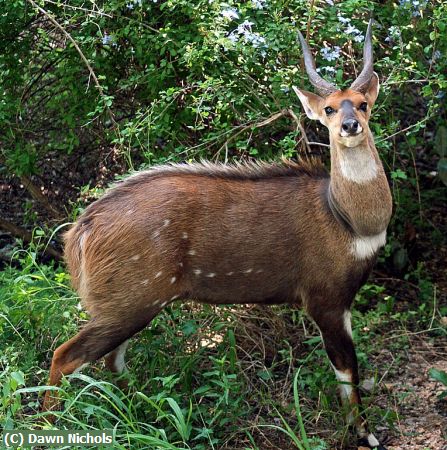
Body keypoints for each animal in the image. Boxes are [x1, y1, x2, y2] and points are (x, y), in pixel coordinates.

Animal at [43, 19, 390, 448]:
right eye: (328, 108)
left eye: (362, 103)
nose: (349, 126)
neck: (347, 220)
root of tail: (80, 232)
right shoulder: (325, 299)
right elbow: (348, 370)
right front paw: (366, 434)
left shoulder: (342, 302)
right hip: (128, 303)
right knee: (66, 356)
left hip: (128, 306)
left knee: (112, 361)